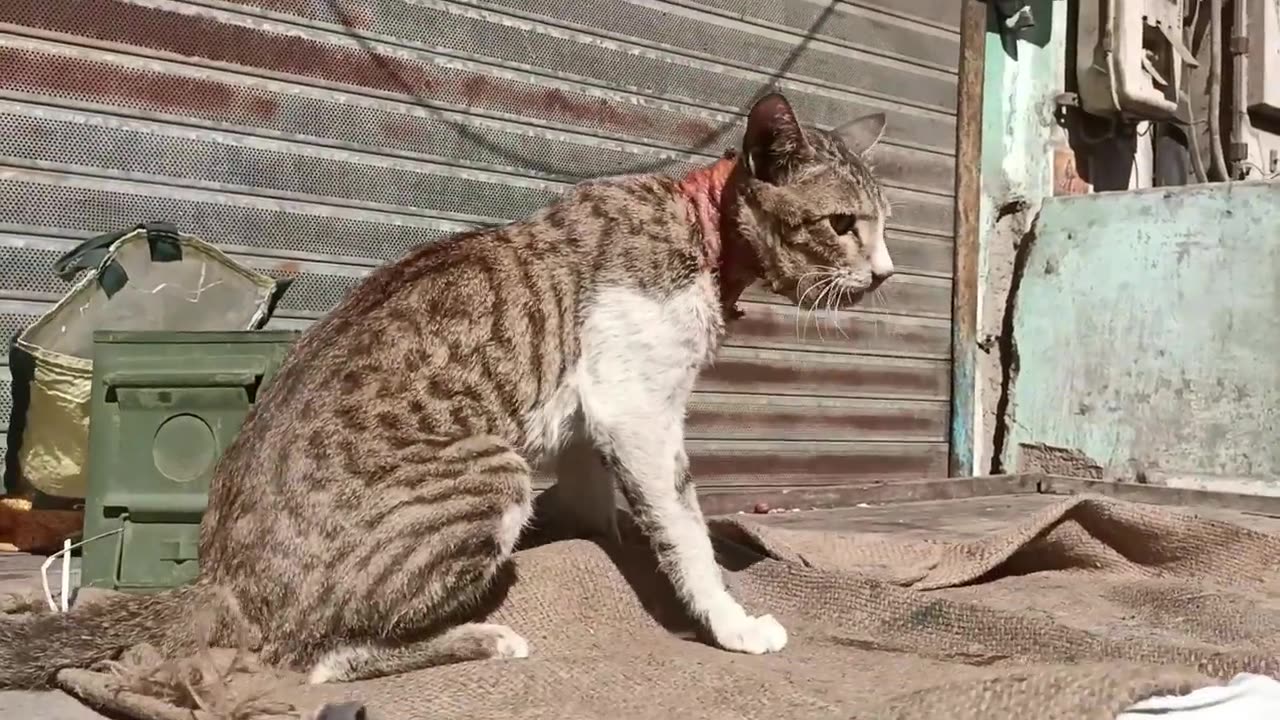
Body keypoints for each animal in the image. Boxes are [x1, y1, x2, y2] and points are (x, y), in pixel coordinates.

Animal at [0, 92, 890, 686]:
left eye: (883, 223)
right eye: (842, 224)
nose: (886, 273)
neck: (700, 236)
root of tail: (220, 578)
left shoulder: (596, 420)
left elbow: (609, 507)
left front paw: (606, 545)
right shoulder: (637, 408)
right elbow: (689, 535)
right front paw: (731, 623)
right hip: (491, 471)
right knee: (311, 659)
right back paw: (480, 640)